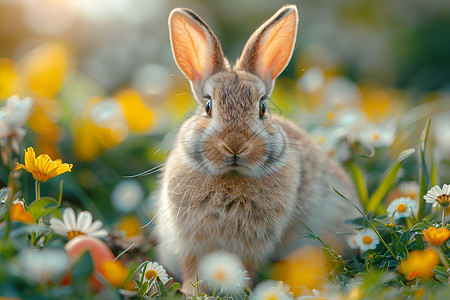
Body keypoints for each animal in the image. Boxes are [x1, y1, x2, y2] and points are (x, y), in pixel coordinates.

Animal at [156, 4, 360, 292]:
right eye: (208, 107)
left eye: (262, 108)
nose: (235, 144)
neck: (232, 177)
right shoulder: (190, 244)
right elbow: (192, 269)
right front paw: (190, 292)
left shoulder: (253, 246)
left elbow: (246, 268)